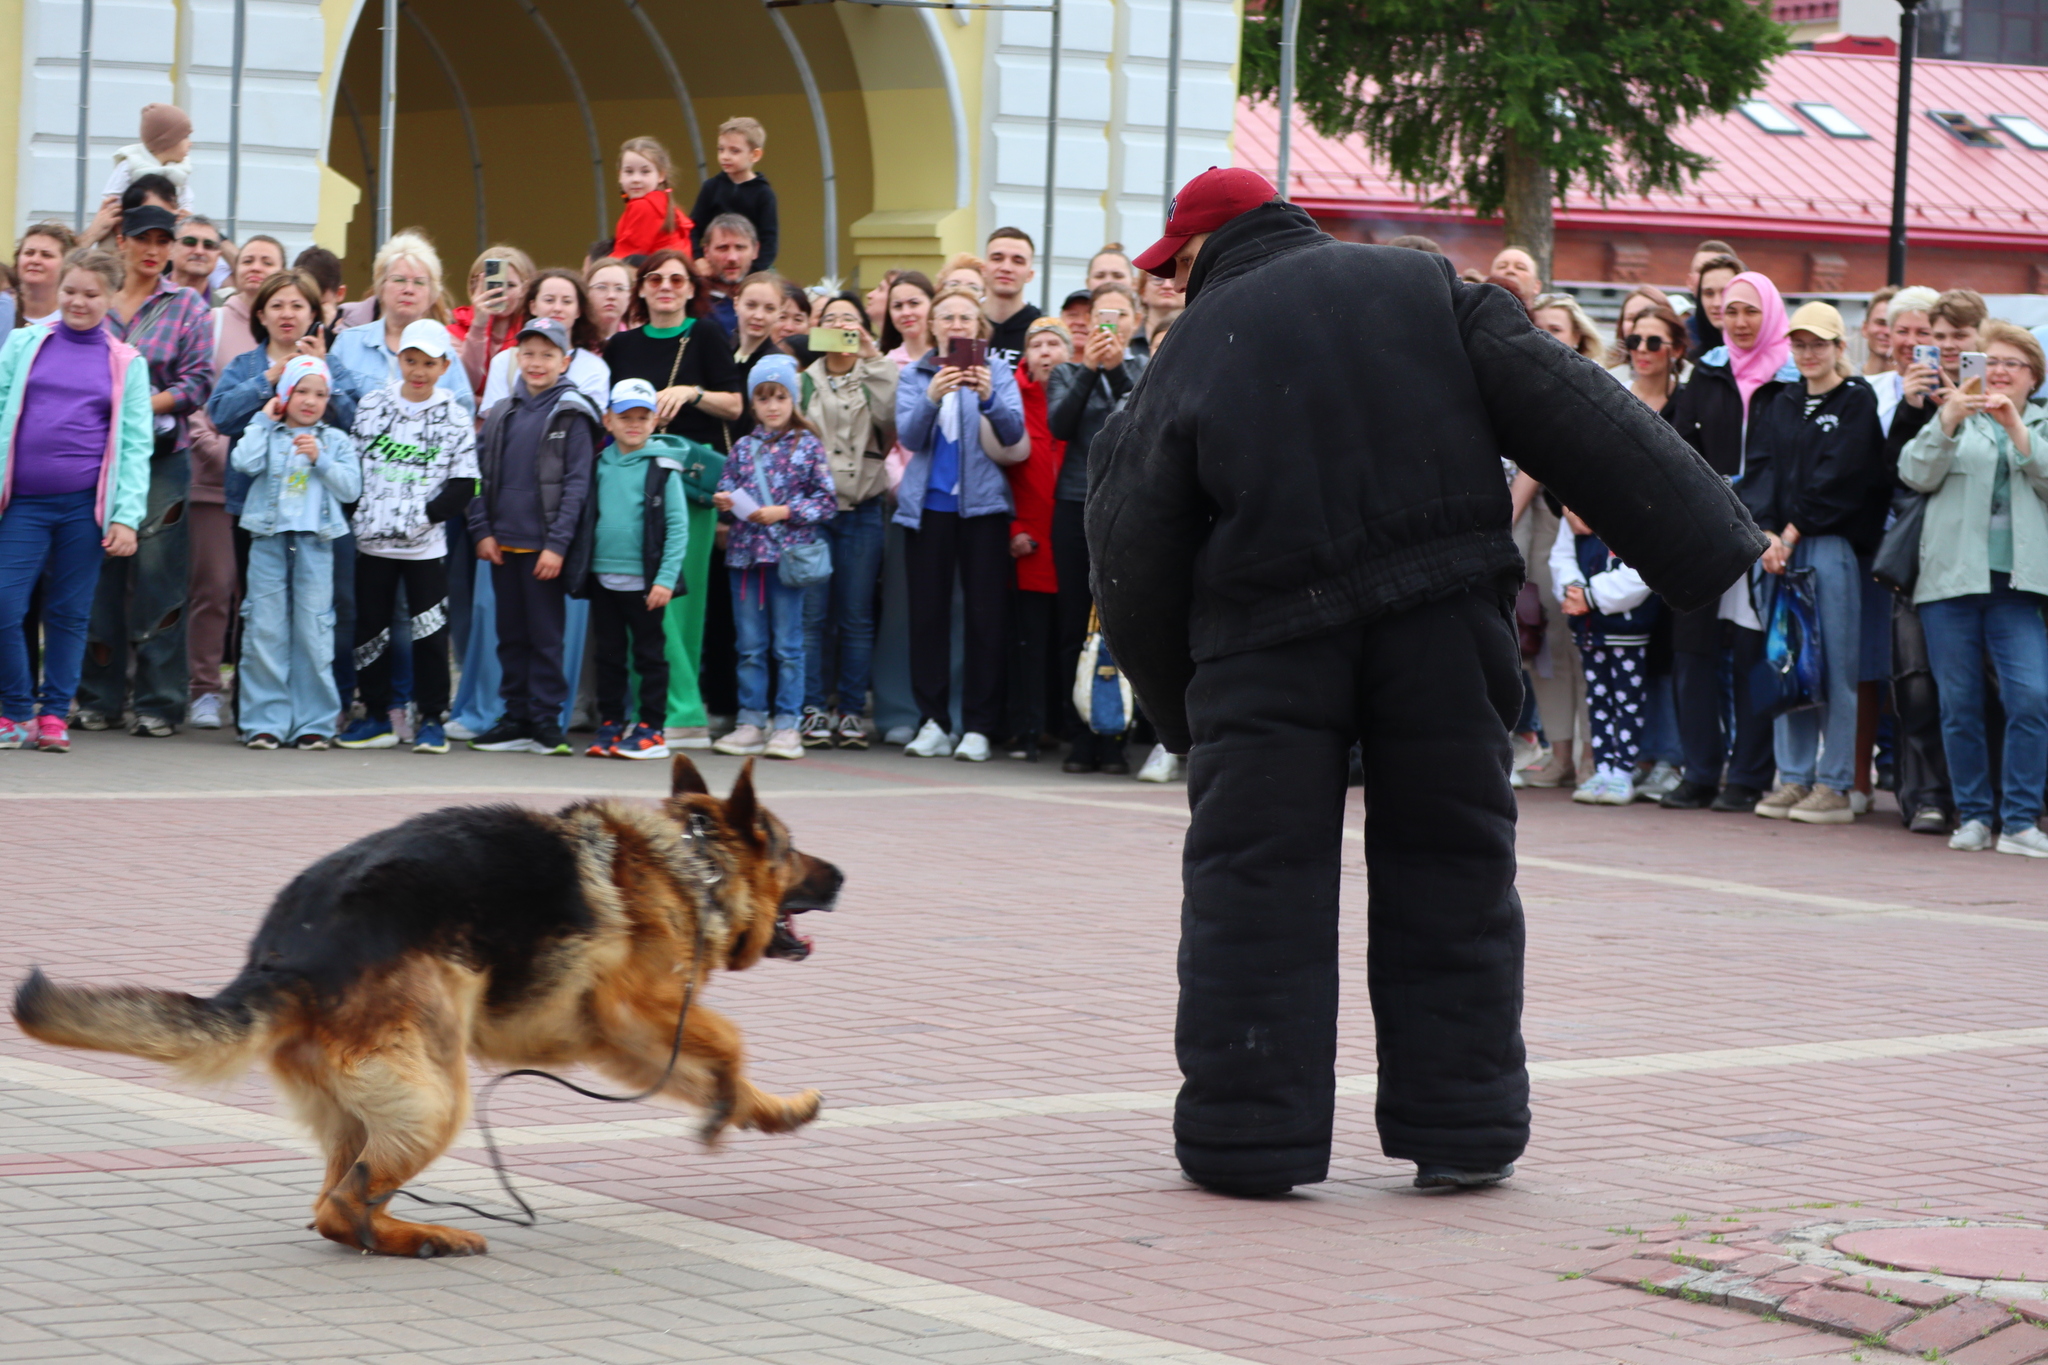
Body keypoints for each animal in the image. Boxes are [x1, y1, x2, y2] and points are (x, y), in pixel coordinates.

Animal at [9, 757, 839, 1260]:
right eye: (791, 847)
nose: (843, 876)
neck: (693, 859)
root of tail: (284, 955)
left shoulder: (627, 1036)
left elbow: (717, 1069)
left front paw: (765, 1110)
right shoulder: (638, 1006)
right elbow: (730, 1041)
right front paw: (729, 1105)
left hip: (372, 1104)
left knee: (333, 1200)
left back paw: (400, 1229)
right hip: (438, 1095)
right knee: (340, 1205)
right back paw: (427, 1235)